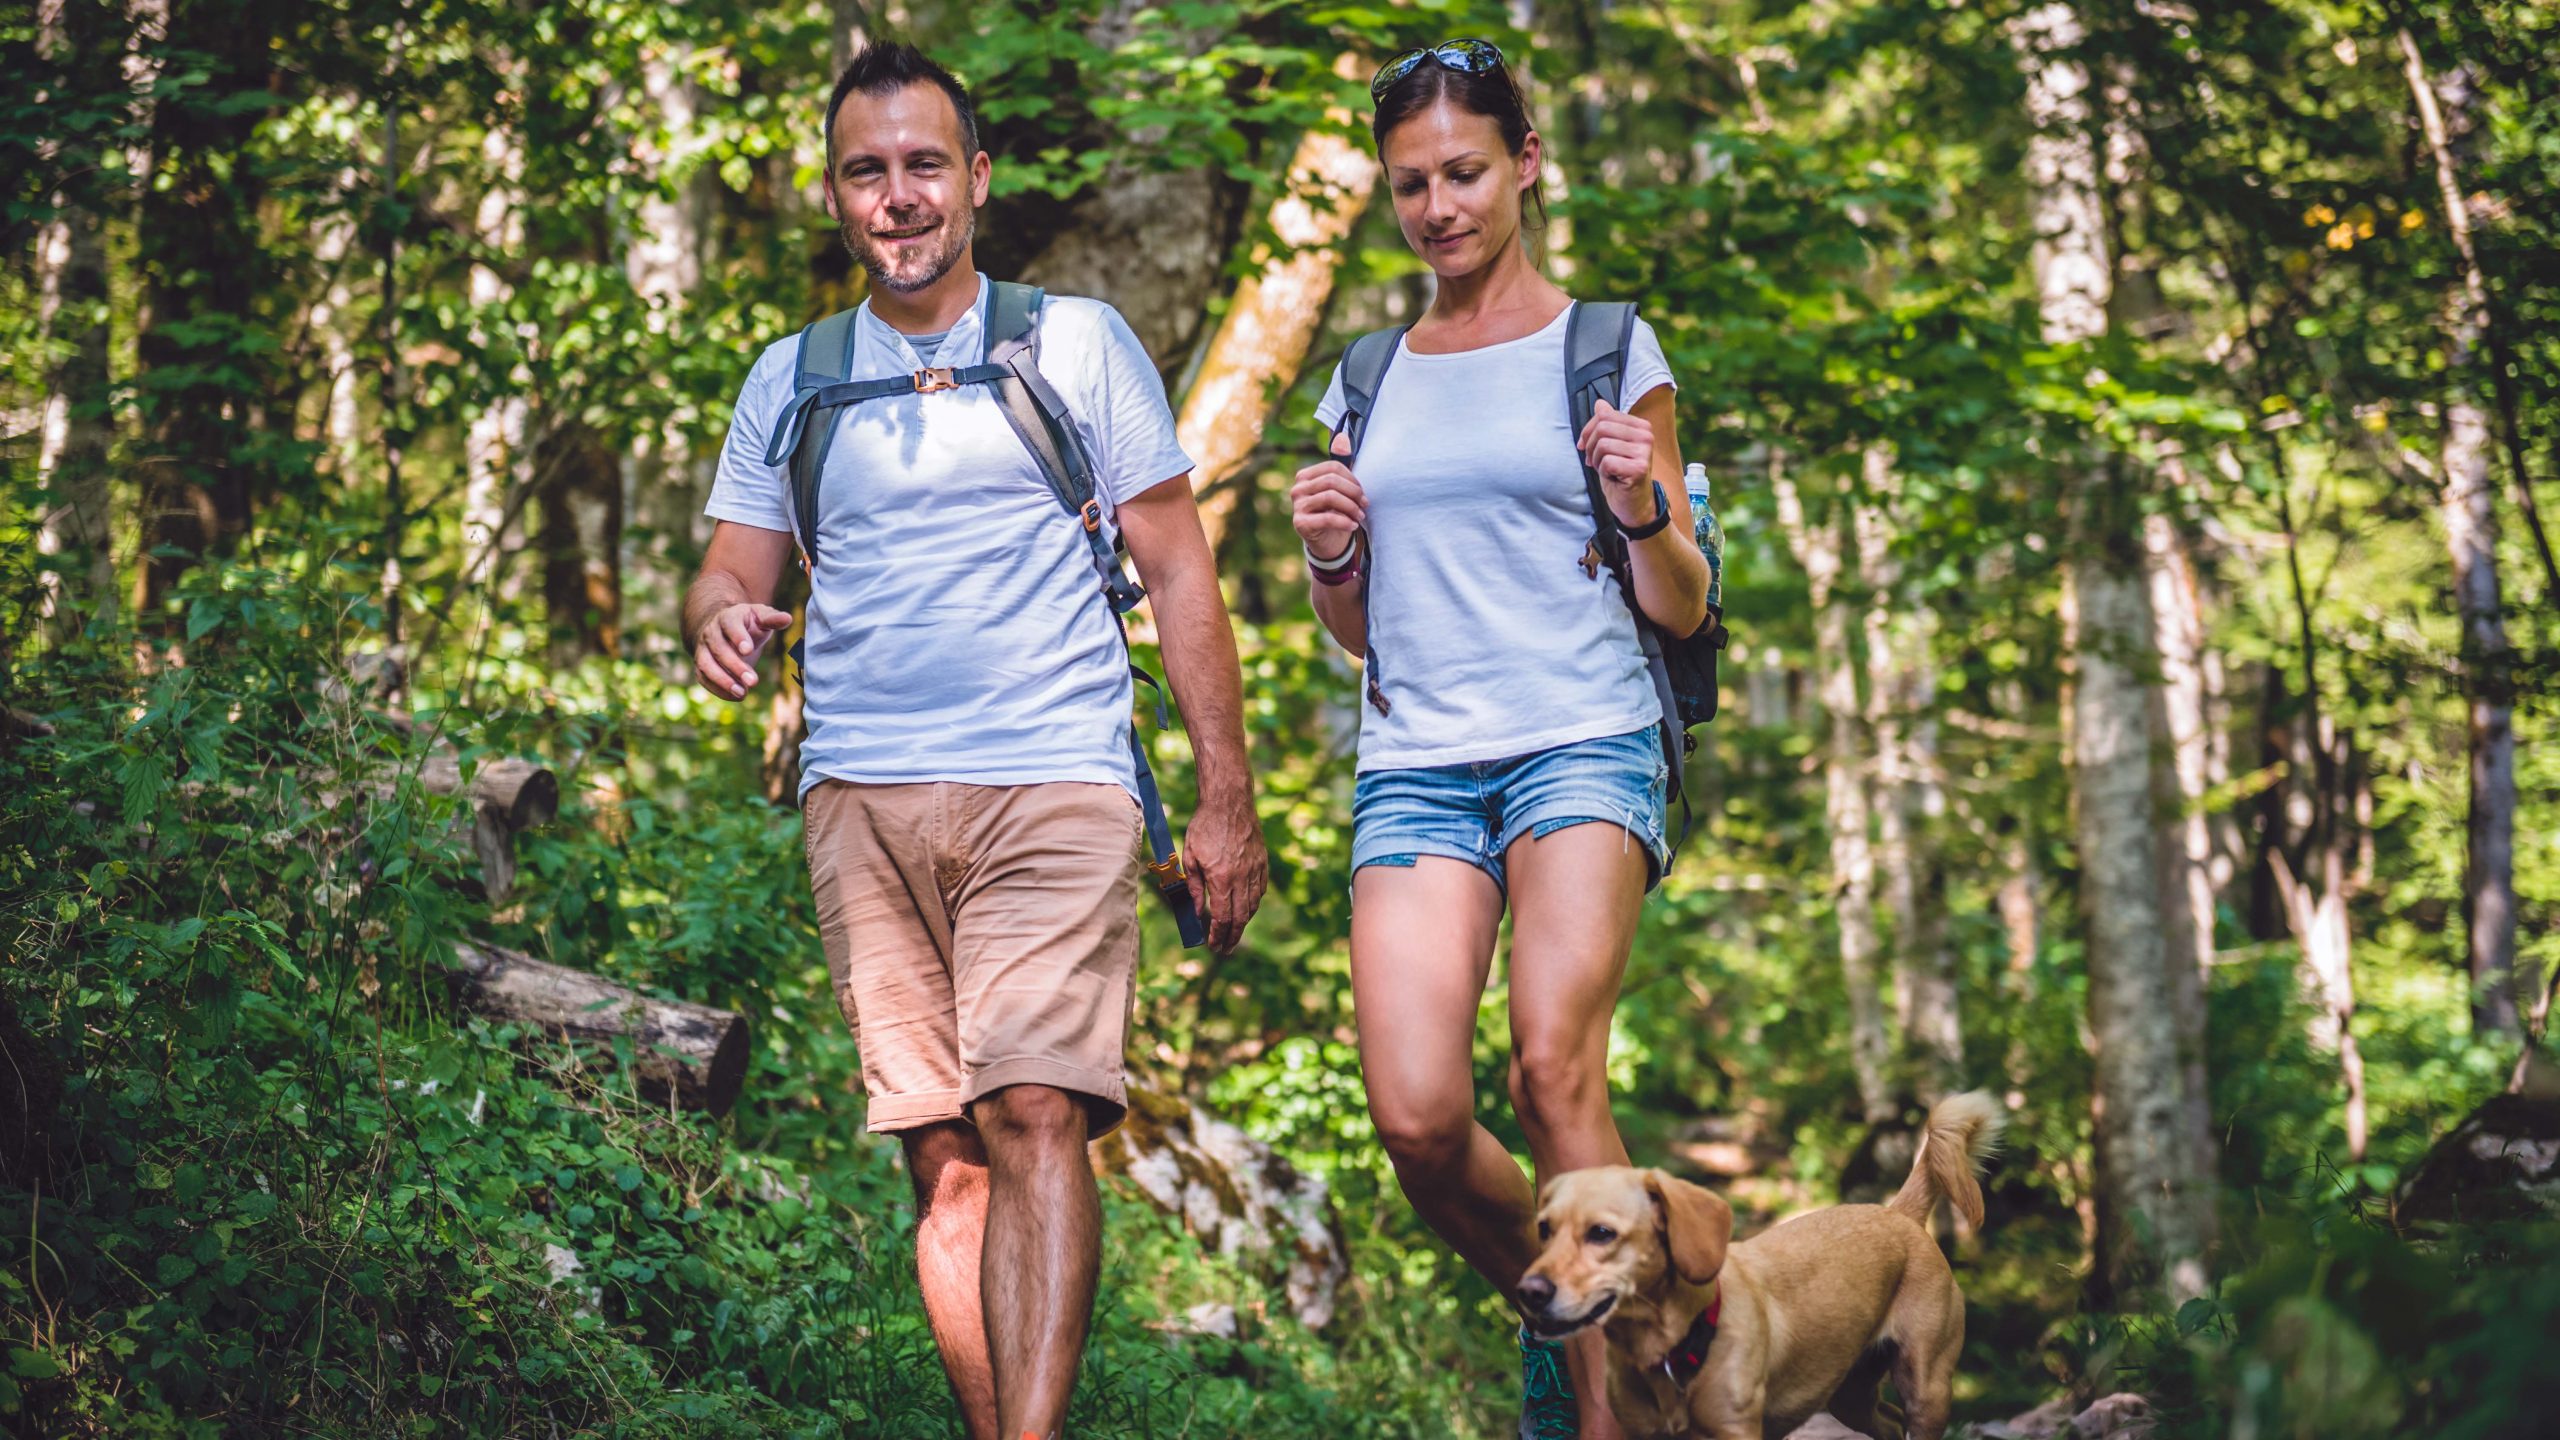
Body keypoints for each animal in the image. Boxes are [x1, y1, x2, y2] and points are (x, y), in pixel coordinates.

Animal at [1515, 1086, 1996, 1434]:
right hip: (1851, 1395)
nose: (1529, 1292)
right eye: (1544, 1229)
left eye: (1601, 1233)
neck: (1672, 1347)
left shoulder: (1737, 1429)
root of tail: (1899, 1213)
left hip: (1926, 1388)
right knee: (1890, 1424)